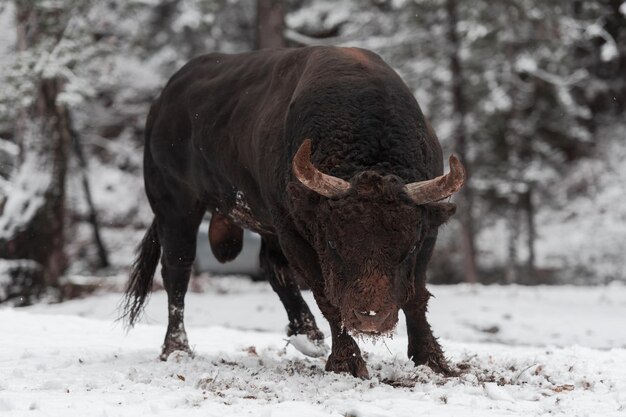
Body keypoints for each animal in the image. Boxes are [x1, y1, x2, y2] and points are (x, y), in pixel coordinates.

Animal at [122, 45, 464, 376]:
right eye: (333, 244)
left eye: (409, 247)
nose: (370, 316)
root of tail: (163, 101)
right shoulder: (293, 232)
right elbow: (326, 296)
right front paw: (347, 362)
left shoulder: (427, 231)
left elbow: (416, 296)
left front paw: (433, 360)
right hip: (176, 207)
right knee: (177, 270)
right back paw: (176, 349)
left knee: (271, 267)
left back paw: (309, 337)